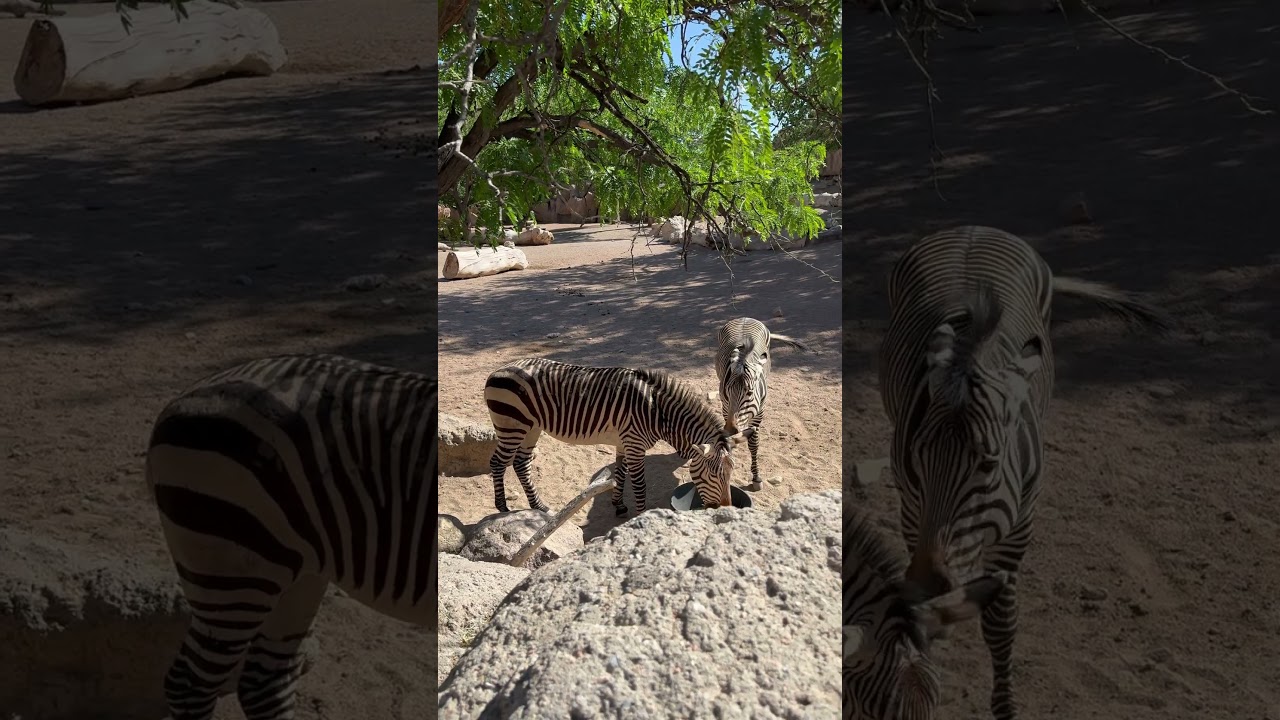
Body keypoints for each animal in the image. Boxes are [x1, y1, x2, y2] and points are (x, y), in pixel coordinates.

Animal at [485, 357, 747, 516]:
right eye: (713, 475)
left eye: (731, 473)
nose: (725, 509)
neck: (657, 411)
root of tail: (499, 370)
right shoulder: (634, 443)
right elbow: (639, 483)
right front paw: (639, 516)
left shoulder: (625, 442)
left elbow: (621, 472)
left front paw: (618, 505)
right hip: (513, 425)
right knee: (498, 462)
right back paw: (503, 507)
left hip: (531, 427)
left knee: (521, 463)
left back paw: (538, 506)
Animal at [714, 317, 812, 491]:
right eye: (727, 392)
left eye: (750, 393)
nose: (730, 429)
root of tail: (744, 317)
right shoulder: (725, 407)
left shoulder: (759, 414)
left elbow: (754, 444)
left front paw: (756, 477)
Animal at [878, 225, 1170, 719]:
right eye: (917, 461)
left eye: (989, 463)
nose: (923, 585)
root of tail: (971, 227)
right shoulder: (912, 508)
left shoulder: (1018, 529)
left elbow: (1000, 624)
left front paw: (1004, 707)